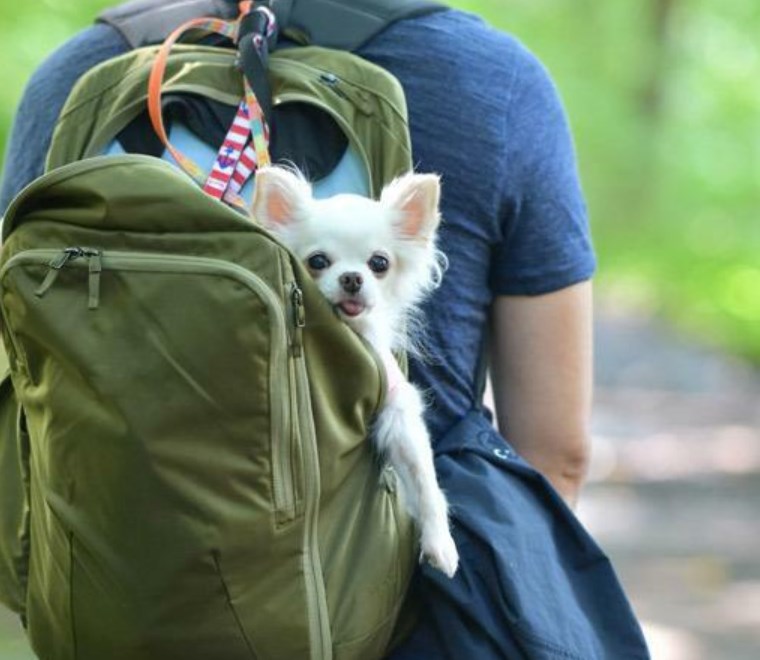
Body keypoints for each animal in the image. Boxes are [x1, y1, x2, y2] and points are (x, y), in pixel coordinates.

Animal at [254, 166, 458, 576]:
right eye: (317, 261)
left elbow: (424, 479)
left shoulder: (399, 412)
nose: (352, 277)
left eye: (379, 263)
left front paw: (440, 543)